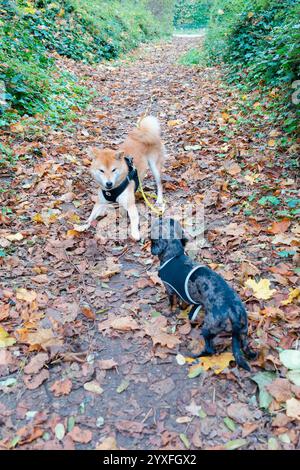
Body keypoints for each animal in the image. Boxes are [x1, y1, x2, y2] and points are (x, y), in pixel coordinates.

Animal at [151, 218, 256, 370]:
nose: (156, 217)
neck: (174, 255)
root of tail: (234, 313)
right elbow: (182, 302)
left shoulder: (169, 289)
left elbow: (171, 304)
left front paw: (168, 311)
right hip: (243, 331)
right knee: (246, 348)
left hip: (208, 328)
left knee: (209, 349)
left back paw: (195, 355)